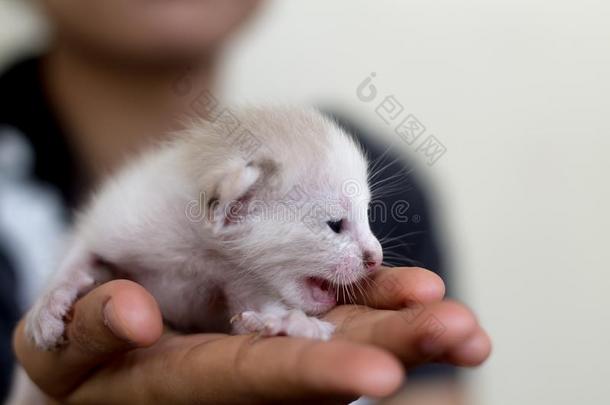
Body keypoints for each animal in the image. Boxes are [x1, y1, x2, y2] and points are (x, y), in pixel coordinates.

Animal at [27, 105, 384, 348]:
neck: (202, 254)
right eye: (335, 225)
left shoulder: (238, 279)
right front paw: (48, 305)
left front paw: (287, 323)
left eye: (366, 214)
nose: (376, 258)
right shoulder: (126, 217)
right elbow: (83, 247)